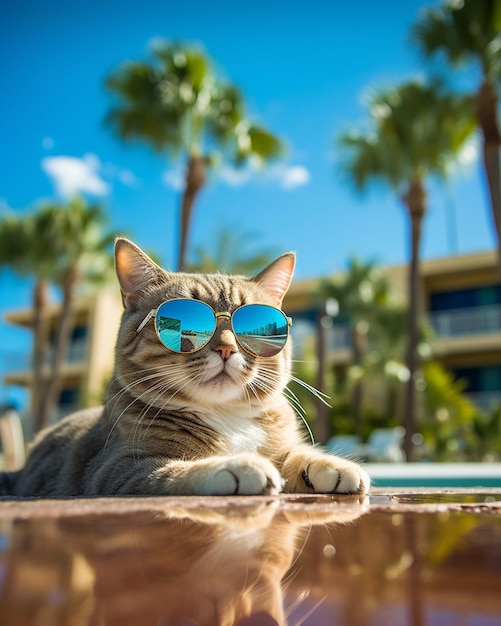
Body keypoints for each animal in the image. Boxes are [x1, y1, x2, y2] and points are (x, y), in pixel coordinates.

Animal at [0, 236, 368, 494]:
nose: (226, 348)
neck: (226, 416)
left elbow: (292, 452)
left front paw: (330, 465)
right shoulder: (115, 469)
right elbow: (174, 471)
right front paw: (236, 466)